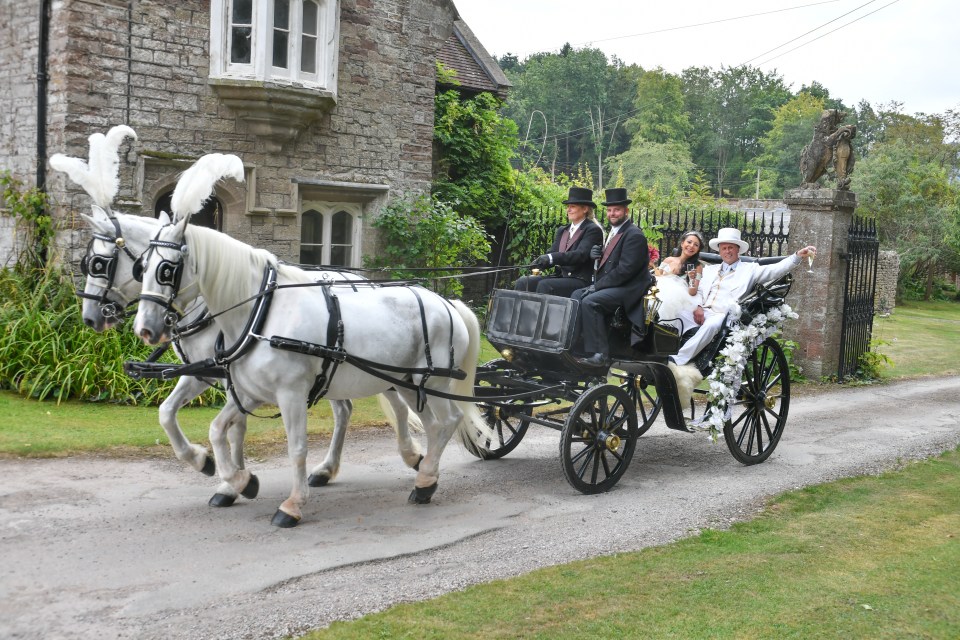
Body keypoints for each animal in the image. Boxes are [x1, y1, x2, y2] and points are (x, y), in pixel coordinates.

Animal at [131, 154, 492, 524]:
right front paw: (238, 480)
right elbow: (217, 429)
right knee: (431, 424)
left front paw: (291, 504)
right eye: (140, 267)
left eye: (166, 270)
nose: (144, 329)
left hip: (431, 381)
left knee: (448, 421)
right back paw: (424, 476)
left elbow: (296, 447)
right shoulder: (247, 390)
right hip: (406, 381)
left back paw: (424, 479)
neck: (261, 313)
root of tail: (448, 303)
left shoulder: (290, 394)